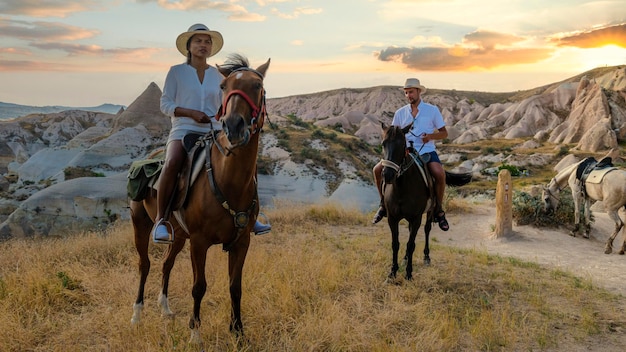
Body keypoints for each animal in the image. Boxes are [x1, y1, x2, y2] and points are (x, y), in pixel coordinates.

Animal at [129, 55, 268, 344]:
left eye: (258, 86)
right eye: (224, 86)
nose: (234, 126)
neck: (230, 182)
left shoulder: (242, 242)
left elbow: (235, 286)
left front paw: (238, 332)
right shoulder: (200, 243)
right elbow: (199, 287)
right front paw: (195, 334)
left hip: (179, 235)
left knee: (166, 263)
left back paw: (165, 309)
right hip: (141, 223)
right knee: (144, 265)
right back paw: (137, 315)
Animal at [378, 123, 432, 280]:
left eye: (402, 144)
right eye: (383, 143)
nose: (387, 175)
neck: (402, 187)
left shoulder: (416, 218)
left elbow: (410, 244)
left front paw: (408, 273)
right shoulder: (392, 218)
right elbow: (395, 244)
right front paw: (392, 272)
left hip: (430, 211)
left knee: (427, 229)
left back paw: (426, 257)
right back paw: (405, 259)